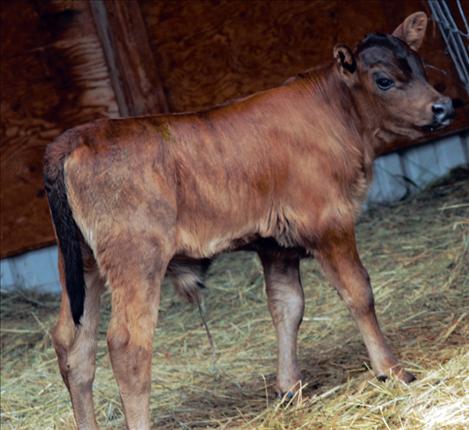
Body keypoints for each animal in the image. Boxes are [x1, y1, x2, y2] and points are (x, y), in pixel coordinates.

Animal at [44, 12, 454, 430]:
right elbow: (358, 292)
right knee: (127, 344)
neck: (336, 112)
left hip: (80, 265)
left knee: (73, 345)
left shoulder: (277, 245)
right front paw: (392, 370)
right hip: (136, 259)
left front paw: (290, 389)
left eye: (419, 65)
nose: (443, 106)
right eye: (383, 79)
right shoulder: (328, 223)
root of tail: (76, 137)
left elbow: (287, 306)